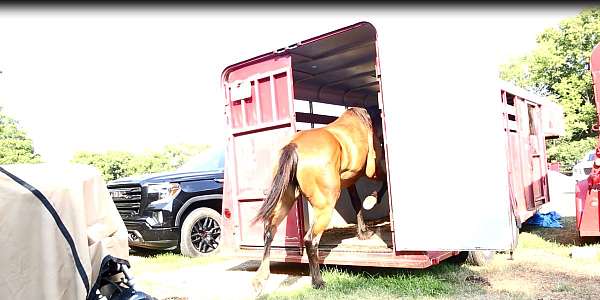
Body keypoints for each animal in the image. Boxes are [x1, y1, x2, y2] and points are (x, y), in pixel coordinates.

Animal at [251, 105, 386, 290]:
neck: (364, 119)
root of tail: (294, 146)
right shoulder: (372, 169)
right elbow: (384, 182)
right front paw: (372, 201)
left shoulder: (350, 180)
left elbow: (356, 203)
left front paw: (363, 233)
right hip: (325, 207)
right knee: (310, 240)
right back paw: (318, 281)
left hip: (285, 201)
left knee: (269, 231)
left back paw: (260, 279)